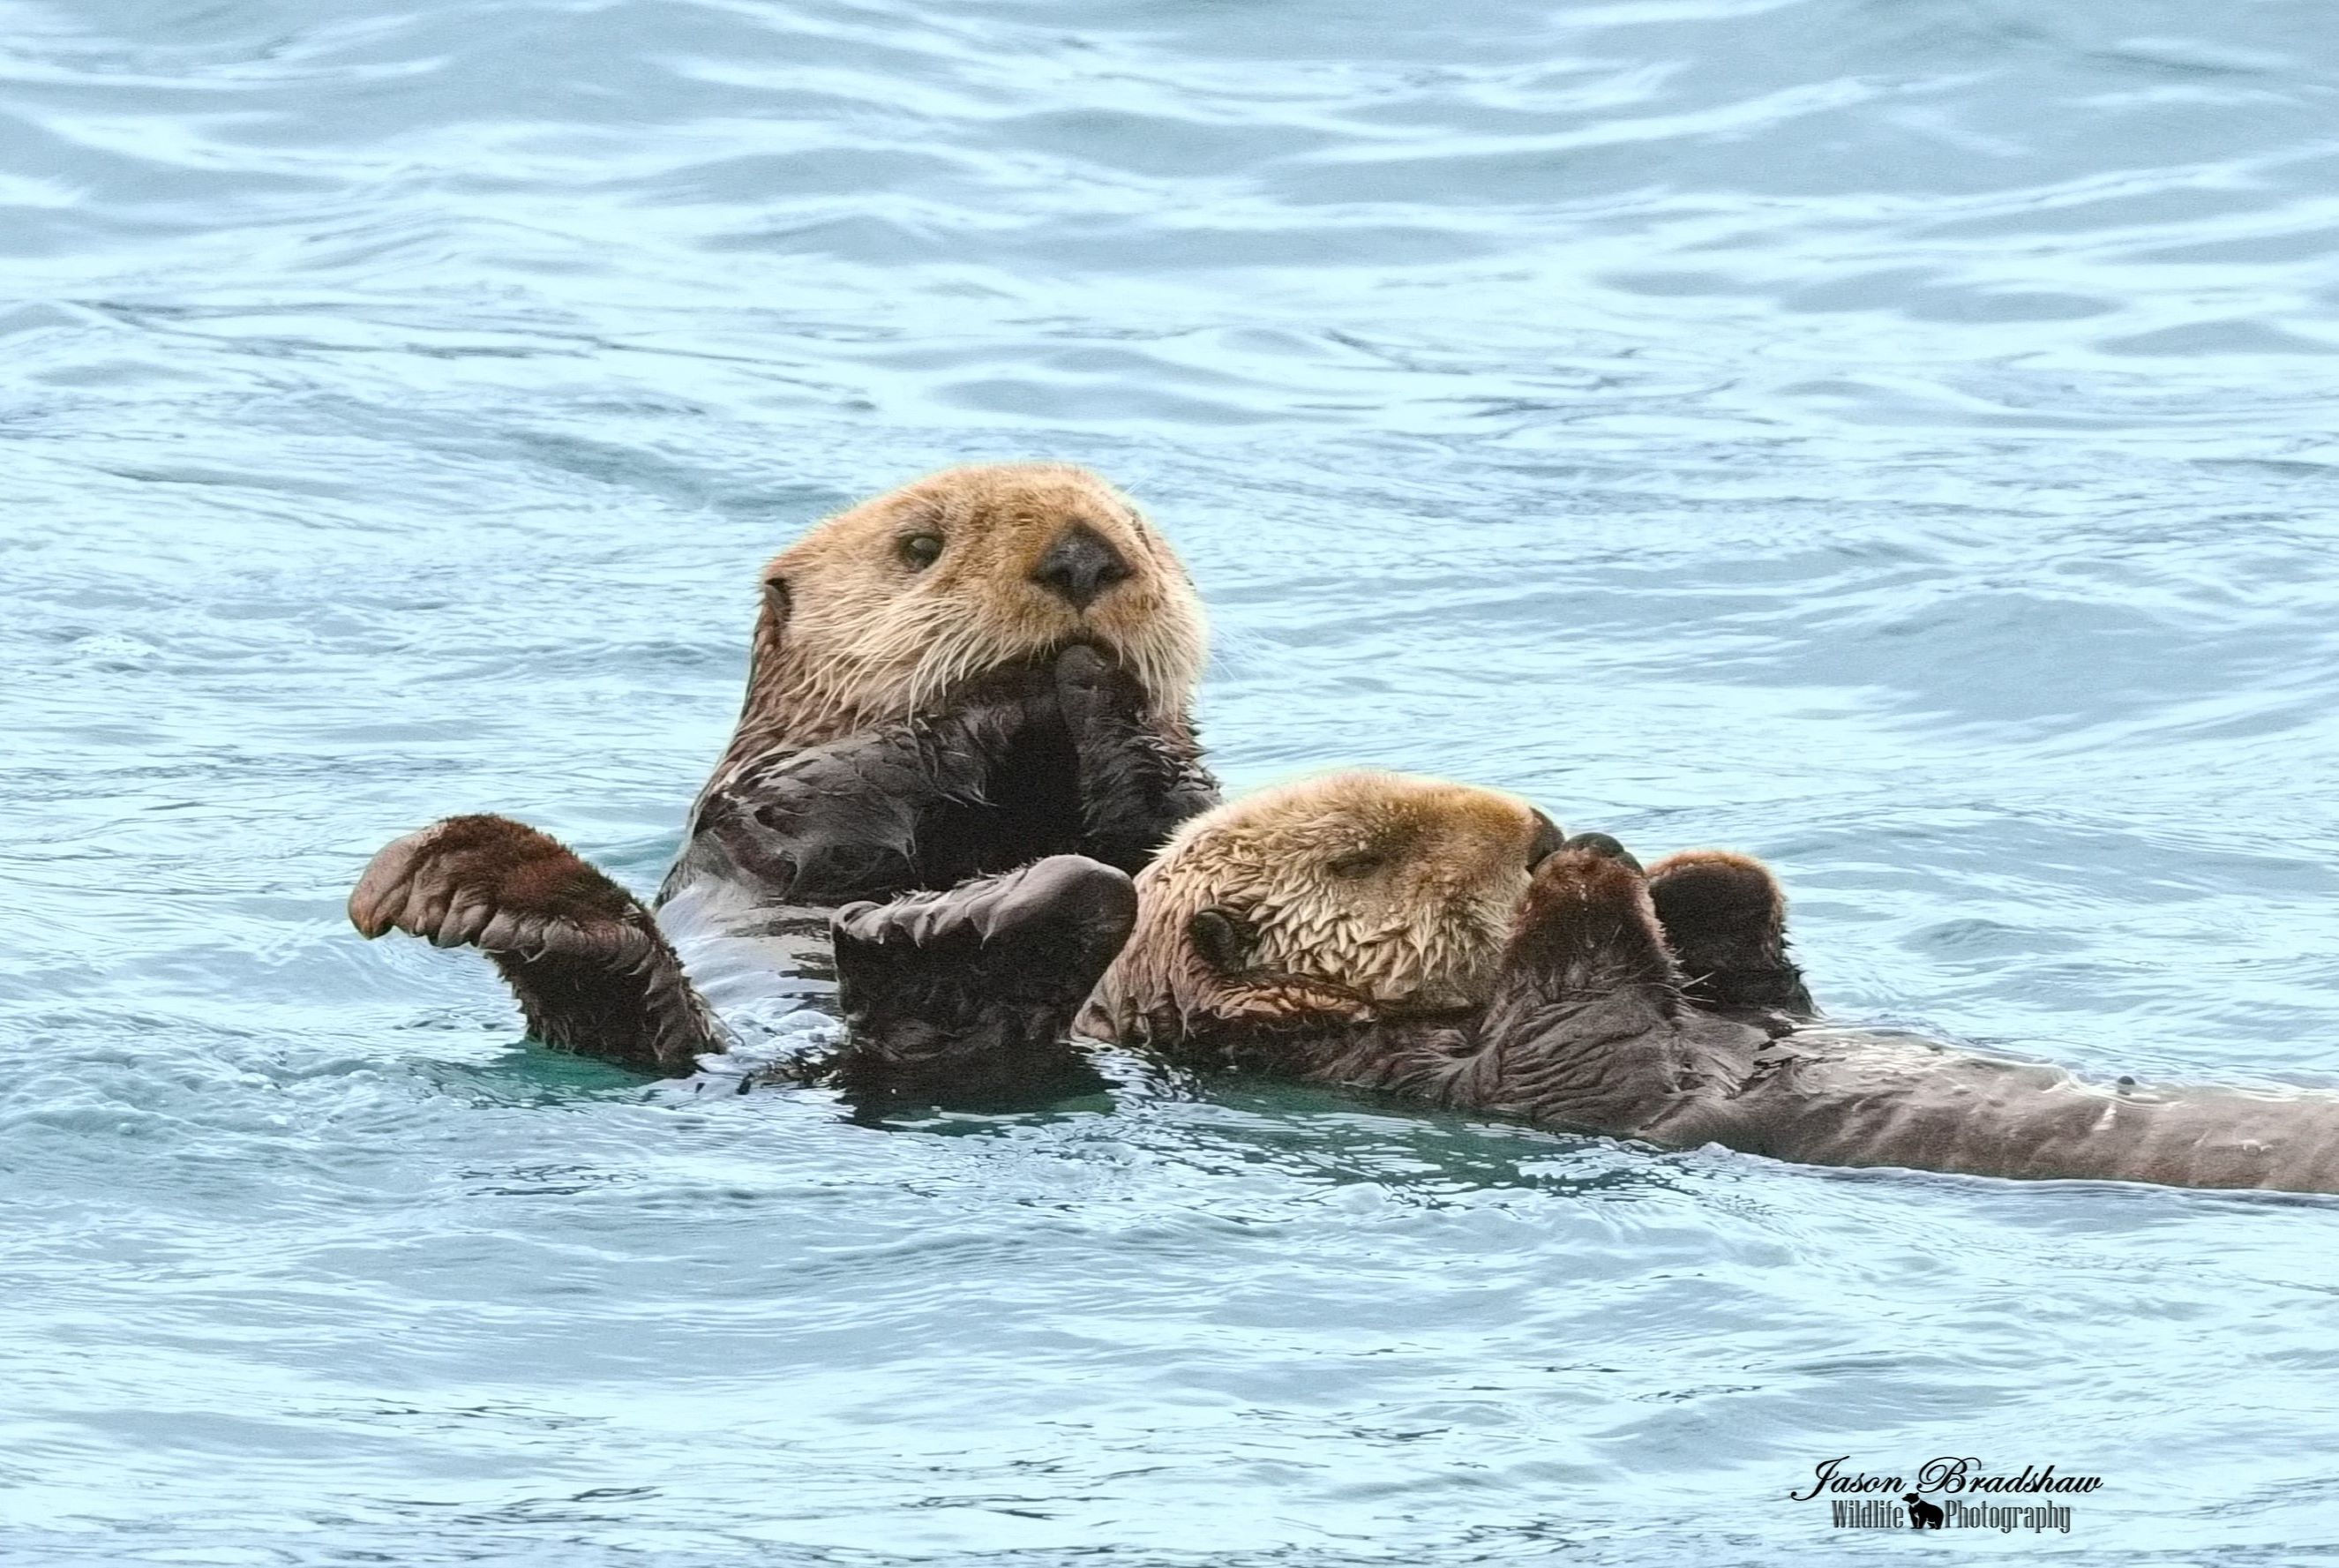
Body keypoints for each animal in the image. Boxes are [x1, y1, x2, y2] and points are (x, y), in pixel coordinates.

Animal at [349, 463, 1217, 1093]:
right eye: (919, 547)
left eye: (1141, 533)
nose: (1083, 555)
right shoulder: (777, 793)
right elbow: (839, 797)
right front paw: (1020, 693)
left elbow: (1172, 816)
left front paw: (1103, 693)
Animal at [1028, 771, 2339, 1195]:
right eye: (1363, 853)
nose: (1543, 826)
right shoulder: (1477, 1072)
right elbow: (1576, 1017)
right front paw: (1592, 870)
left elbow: (1757, 972)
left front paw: (1688, 874)